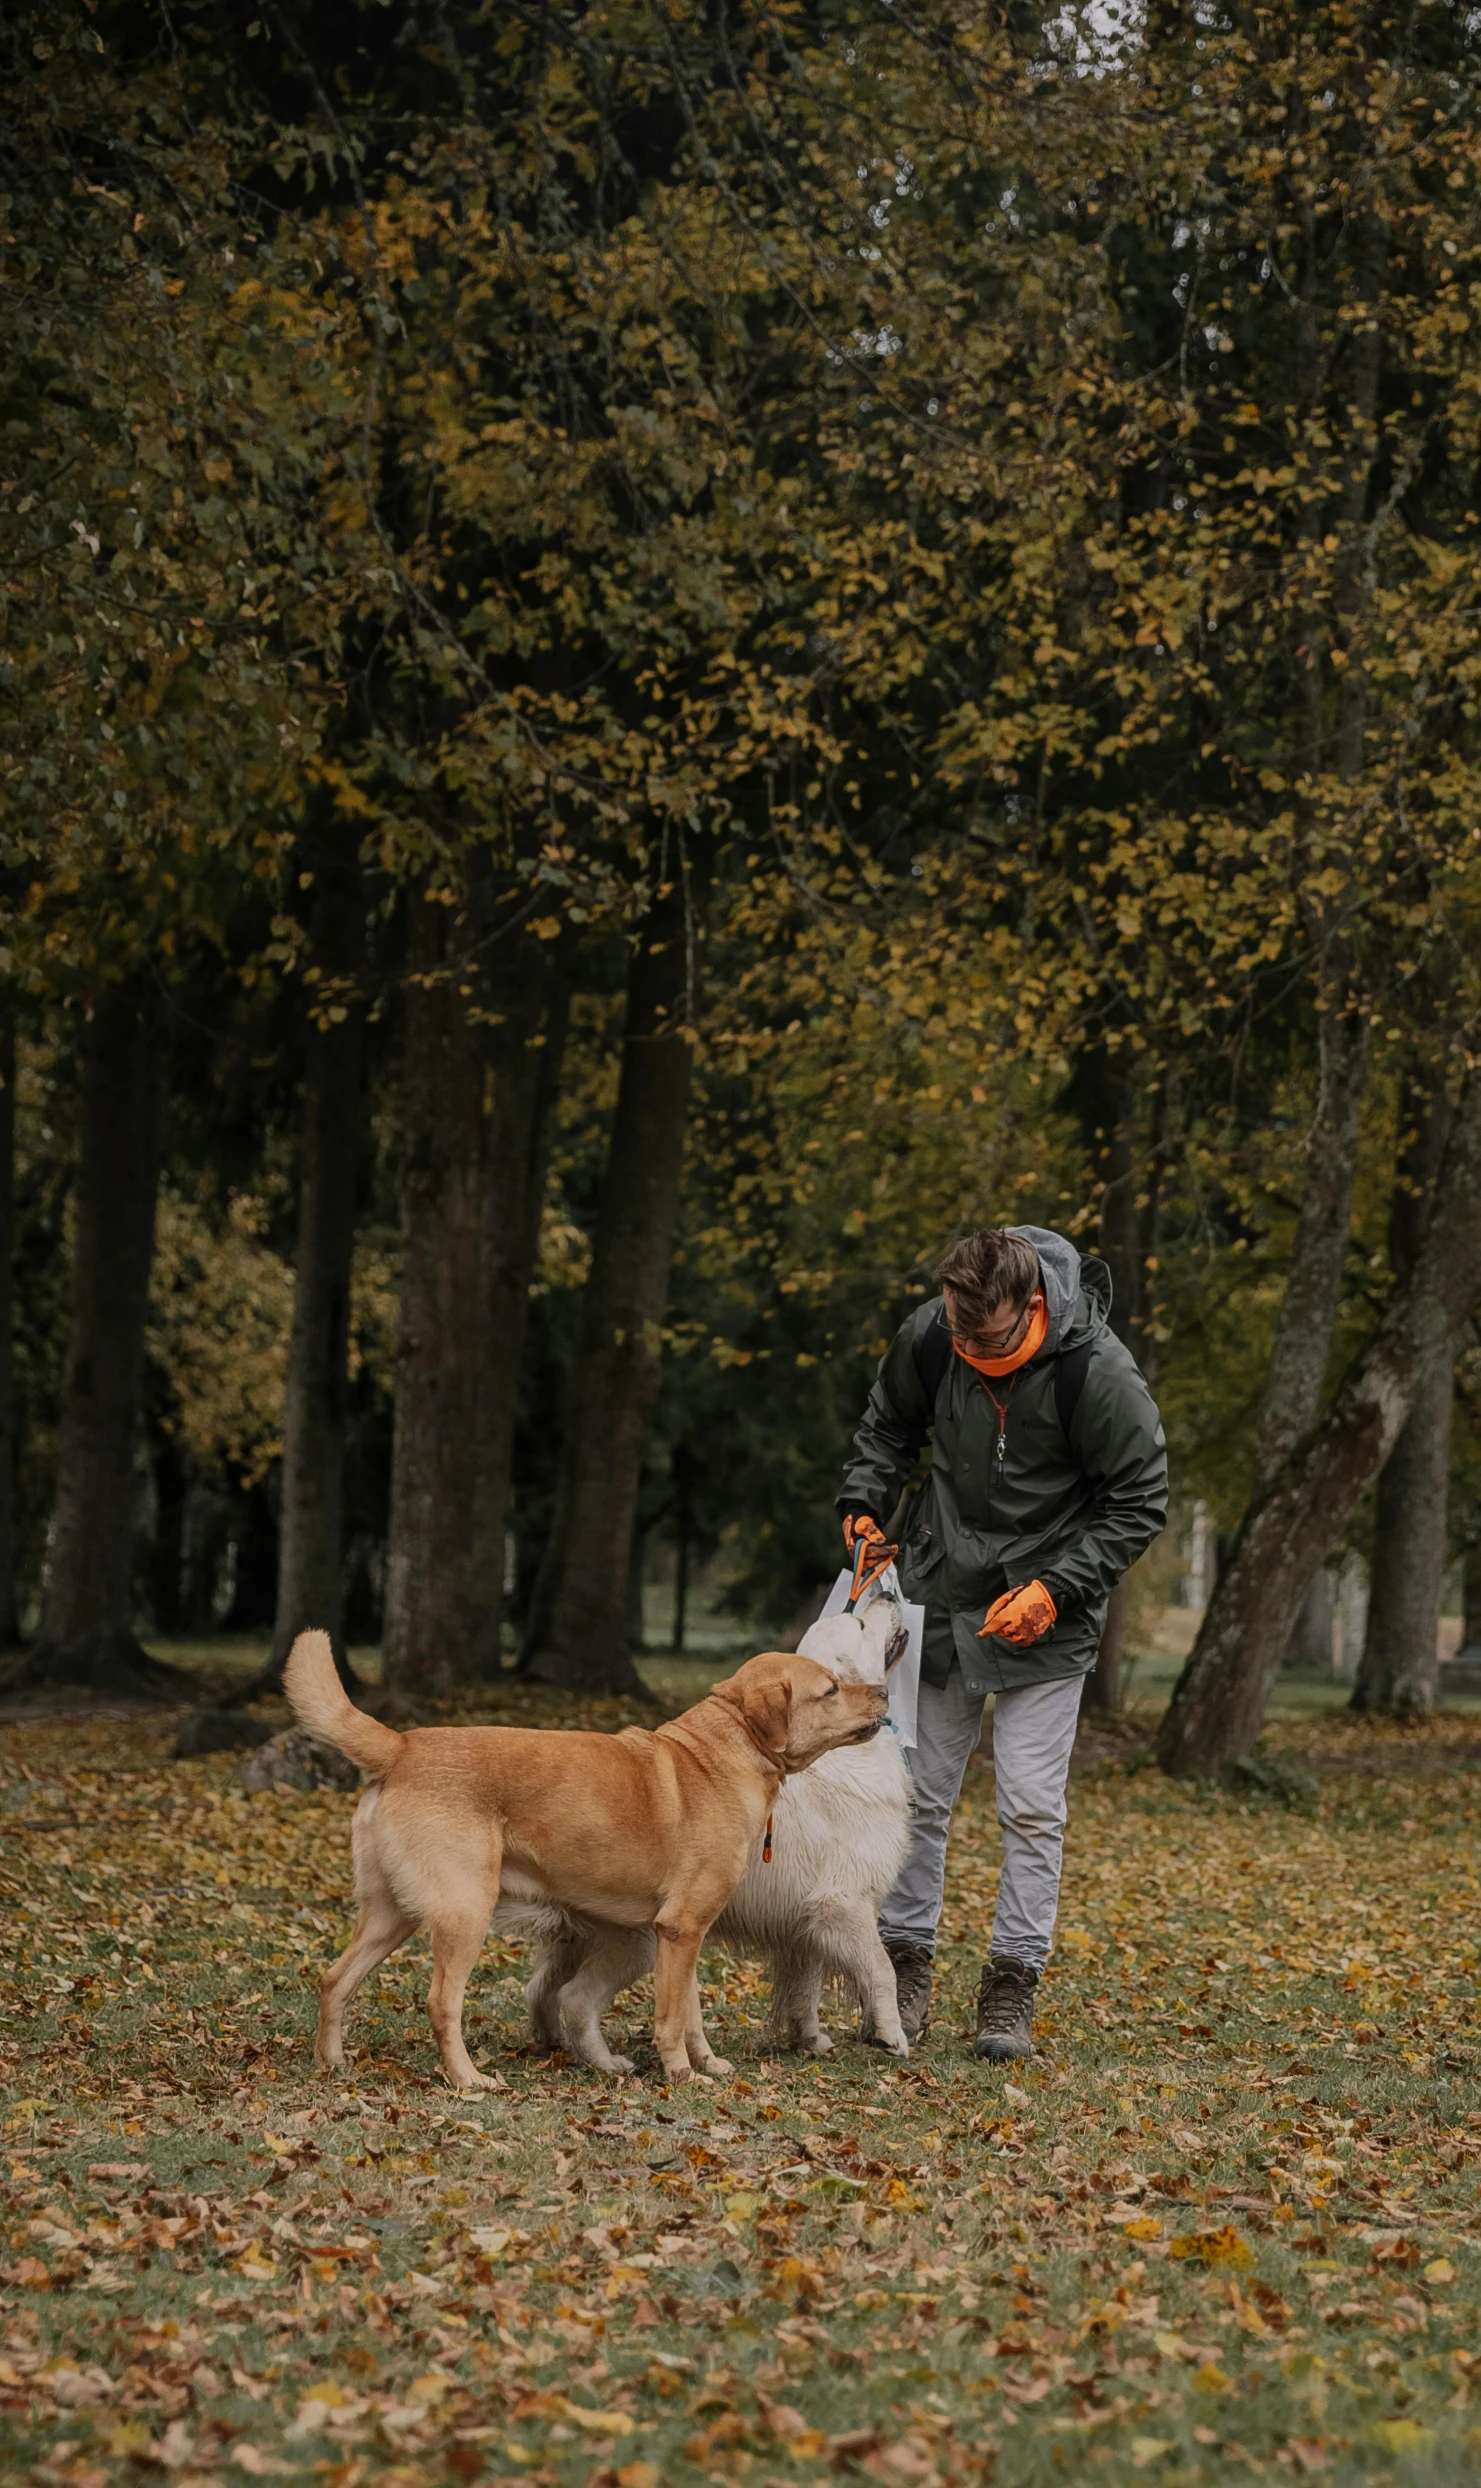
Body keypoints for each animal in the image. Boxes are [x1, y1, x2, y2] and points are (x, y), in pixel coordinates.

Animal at [288, 1632, 886, 2079]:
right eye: (832, 1689)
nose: (883, 1691)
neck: (725, 1752)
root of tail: (402, 1746)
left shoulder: (687, 1934)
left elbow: (690, 2012)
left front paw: (707, 2064)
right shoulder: (680, 1928)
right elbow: (672, 2019)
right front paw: (680, 2074)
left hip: (390, 1917)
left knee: (334, 1980)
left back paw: (331, 2063)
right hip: (465, 1915)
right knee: (441, 2004)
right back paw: (468, 2080)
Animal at [515, 1592, 920, 2060]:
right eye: (859, 1624)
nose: (888, 1593)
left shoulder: (803, 1924)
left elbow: (806, 1988)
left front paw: (809, 2039)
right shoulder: (841, 1901)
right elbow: (881, 1968)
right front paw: (892, 2035)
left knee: (540, 1988)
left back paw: (553, 2041)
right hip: (644, 1937)